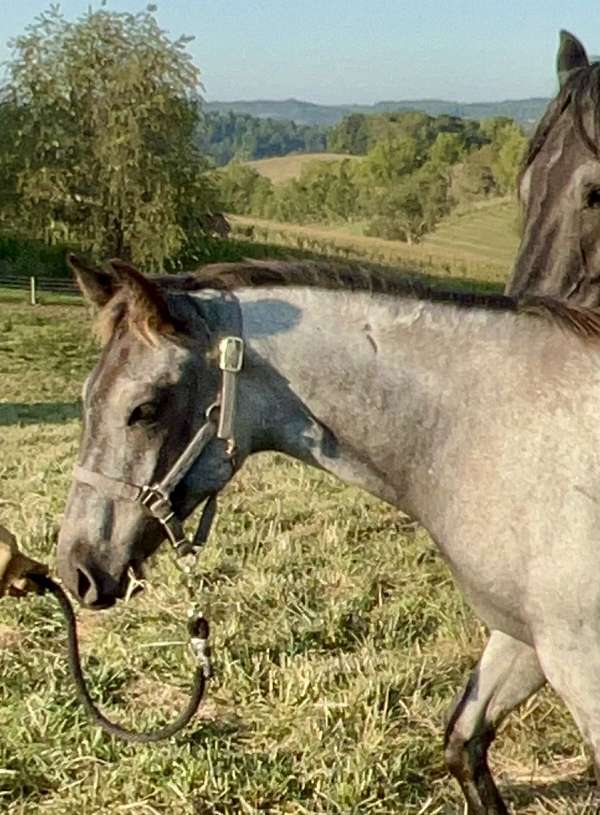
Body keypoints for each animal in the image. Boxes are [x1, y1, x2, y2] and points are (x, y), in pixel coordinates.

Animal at [57, 260, 600, 815]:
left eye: (144, 409)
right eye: (87, 398)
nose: (76, 569)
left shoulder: (581, 666)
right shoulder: (523, 638)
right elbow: (462, 743)